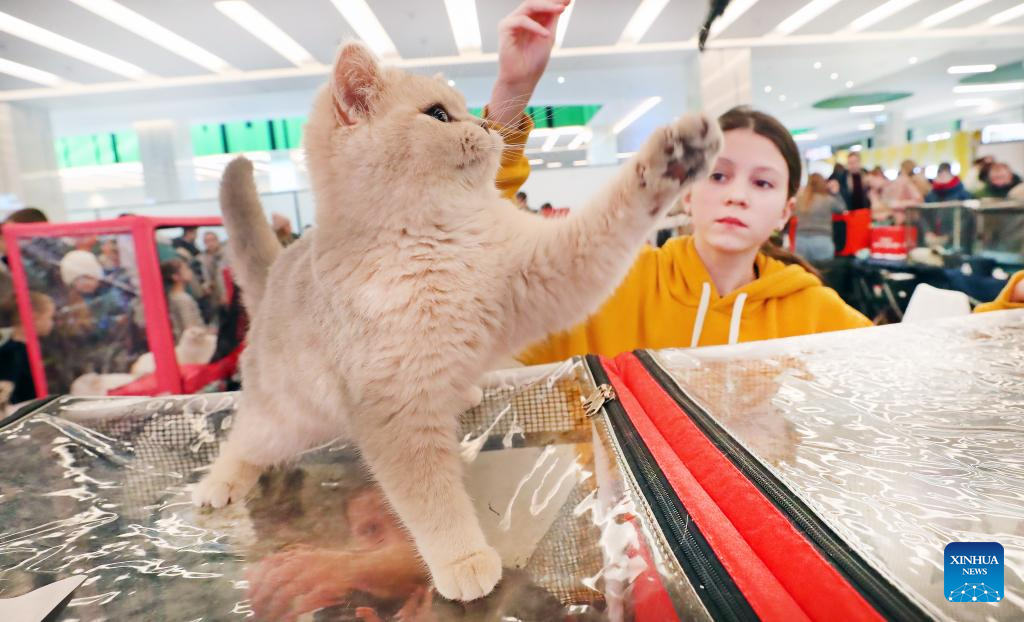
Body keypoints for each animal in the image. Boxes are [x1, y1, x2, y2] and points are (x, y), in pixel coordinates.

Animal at [192, 40, 720, 602]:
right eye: (439, 115)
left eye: (464, 109)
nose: (487, 124)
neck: (438, 238)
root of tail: (276, 273)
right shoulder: (396, 412)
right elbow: (432, 501)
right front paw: (463, 560)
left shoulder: (548, 269)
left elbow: (613, 214)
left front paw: (674, 157)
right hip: (285, 418)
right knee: (245, 438)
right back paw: (218, 485)